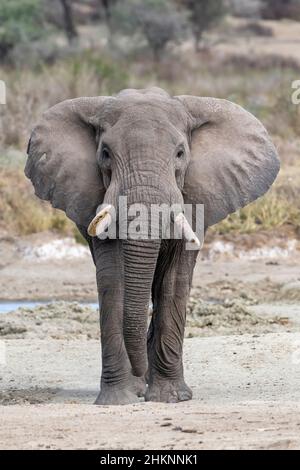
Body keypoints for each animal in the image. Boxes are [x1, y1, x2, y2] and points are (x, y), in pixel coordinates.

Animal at [24, 87, 280, 404]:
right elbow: (114, 277)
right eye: (105, 153)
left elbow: (174, 279)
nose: (140, 375)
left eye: (180, 153)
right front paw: (118, 400)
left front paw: (170, 397)